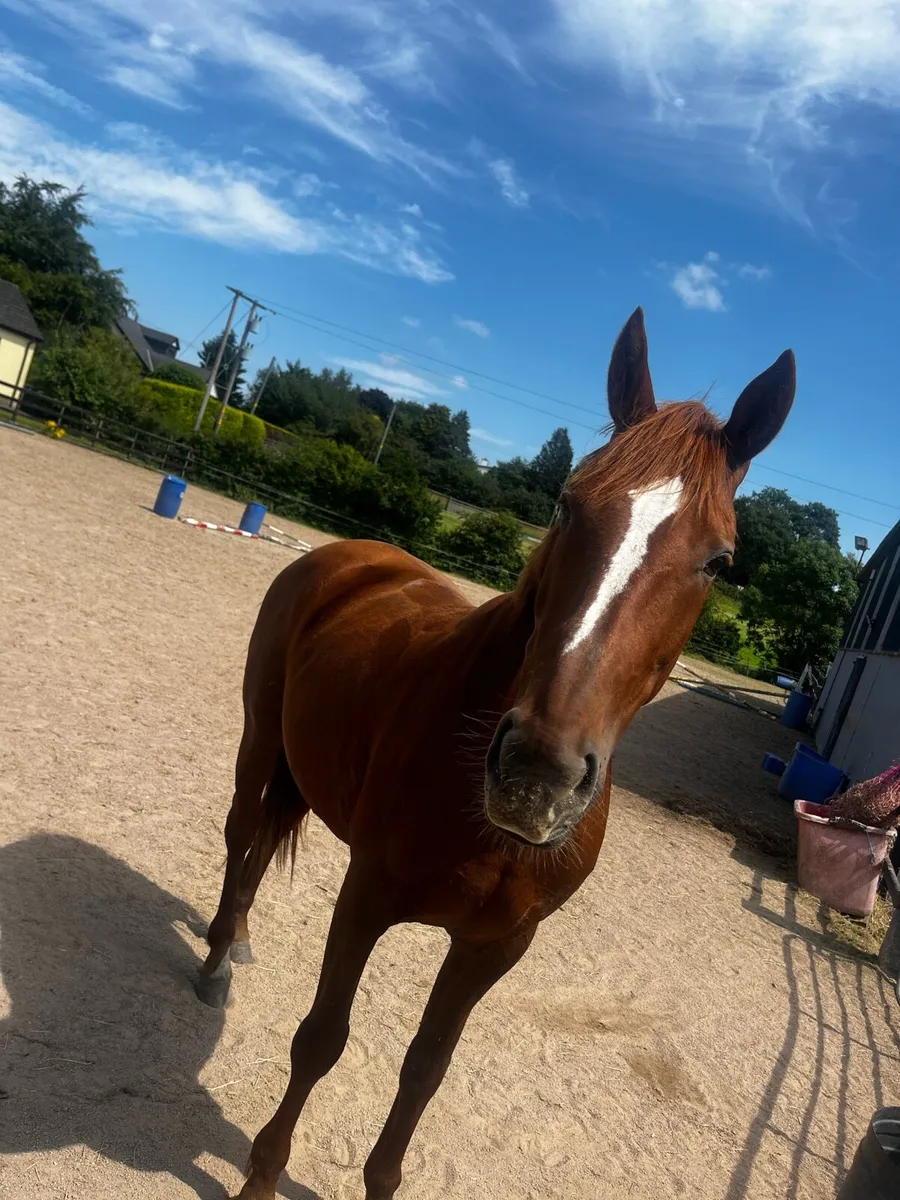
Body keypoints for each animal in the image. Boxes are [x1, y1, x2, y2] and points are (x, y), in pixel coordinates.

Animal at [197, 308, 796, 1199]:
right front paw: (262, 1176)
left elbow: (425, 1071)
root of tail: (343, 555)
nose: (537, 776)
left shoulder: (495, 947)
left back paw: (235, 940)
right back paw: (213, 961)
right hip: (259, 739)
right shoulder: (365, 900)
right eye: (566, 503)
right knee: (243, 835)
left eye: (720, 560)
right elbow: (321, 1039)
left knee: (266, 842)